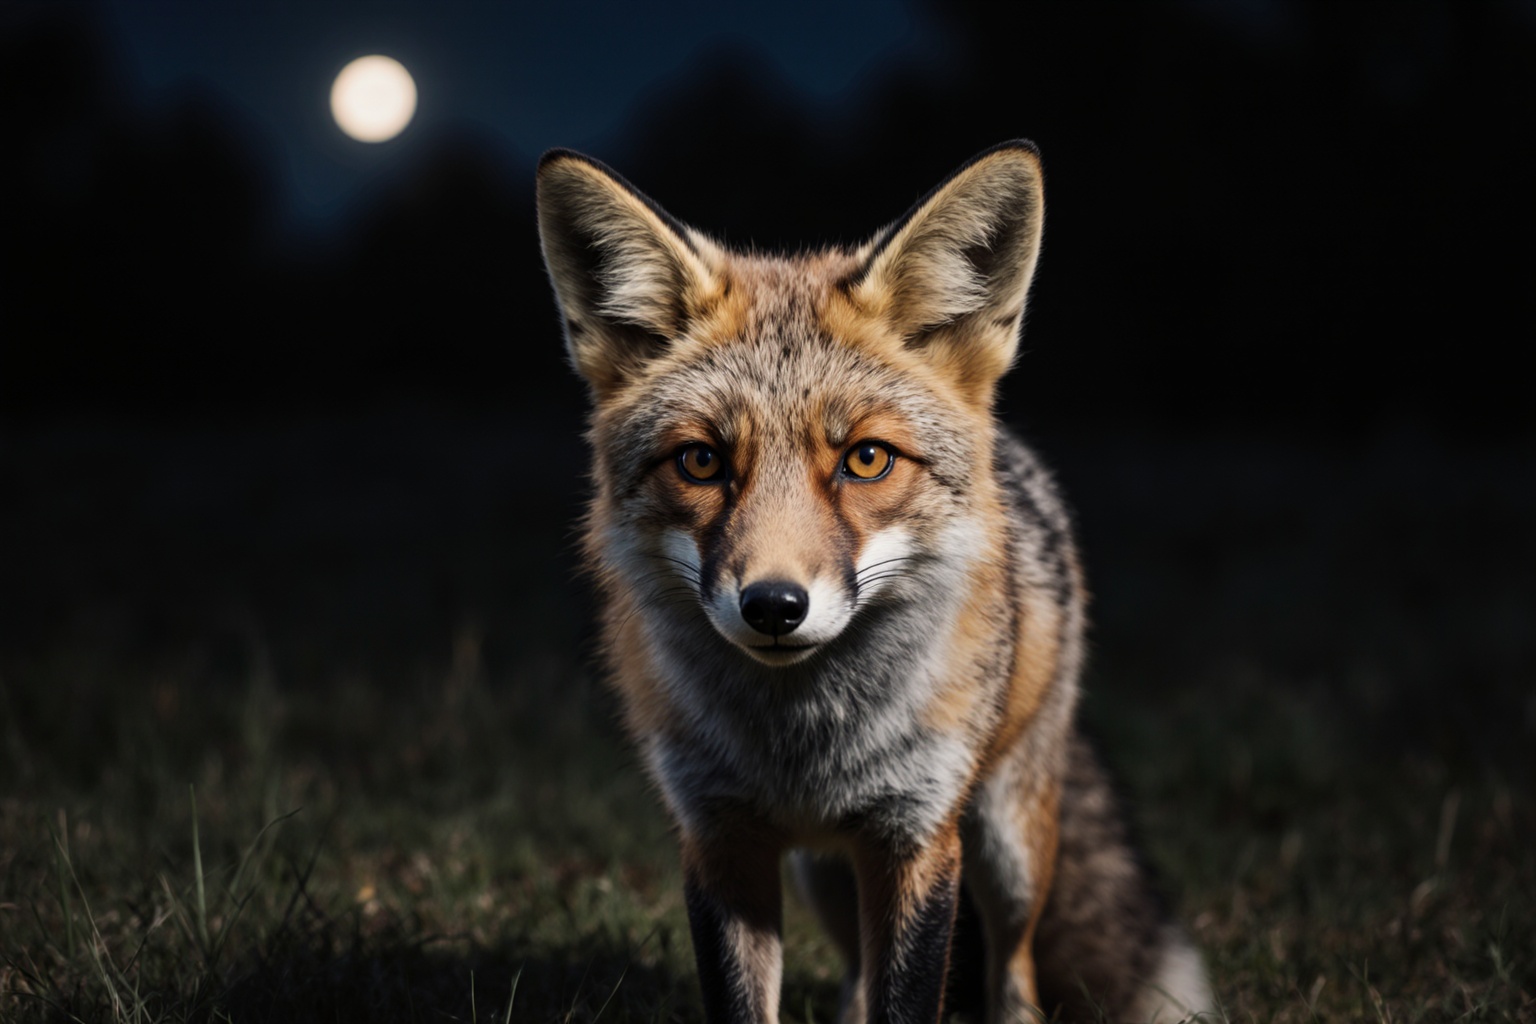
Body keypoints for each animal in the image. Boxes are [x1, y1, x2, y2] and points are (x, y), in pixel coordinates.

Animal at [535, 141, 1214, 1024]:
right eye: (702, 461)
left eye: (865, 459)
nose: (774, 606)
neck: (804, 753)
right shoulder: (720, 840)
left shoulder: (916, 838)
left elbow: (913, 999)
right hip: (824, 877)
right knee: (858, 979)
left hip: (1005, 848)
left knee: (1014, 971)